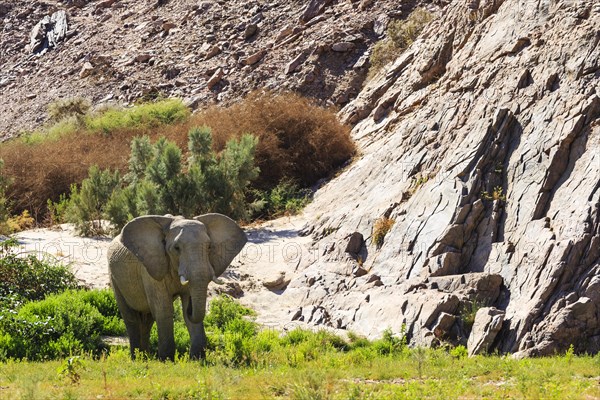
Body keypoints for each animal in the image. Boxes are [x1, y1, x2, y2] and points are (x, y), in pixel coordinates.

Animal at [107, 214, 246, 360]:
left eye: (209, 247)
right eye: (177, 248)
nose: (191, 306)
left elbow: (184, 313)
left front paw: (197, 359)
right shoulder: (150, 269)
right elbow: (164, 310)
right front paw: (166, 360)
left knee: (147, 320)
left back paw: (145, 357)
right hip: (114, 277)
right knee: (131, 318)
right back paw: (137, 358)